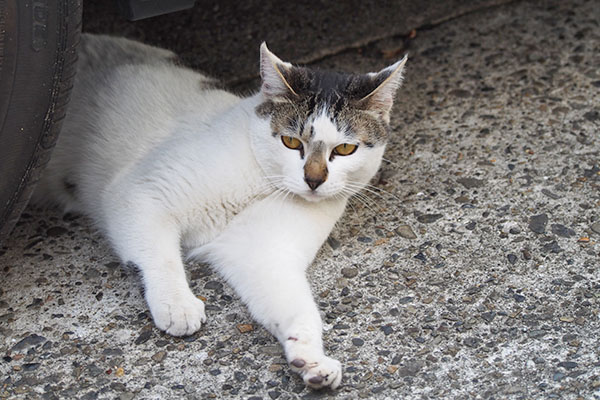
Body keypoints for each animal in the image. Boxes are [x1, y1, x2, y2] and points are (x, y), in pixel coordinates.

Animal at [34, 32, 408, 390]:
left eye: (344, 149)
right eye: (291, 142)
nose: (314, 180)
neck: (261, 180)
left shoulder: (263, 252)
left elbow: (297, 306)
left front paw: (311, 358)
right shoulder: (141, 191)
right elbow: (160, 255)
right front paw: (177, 303)